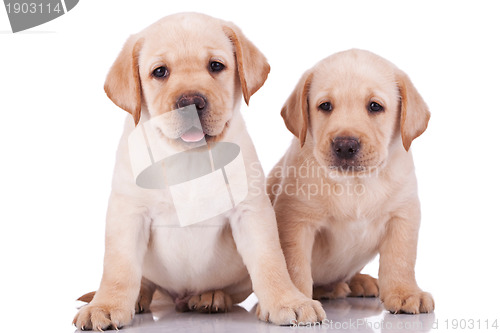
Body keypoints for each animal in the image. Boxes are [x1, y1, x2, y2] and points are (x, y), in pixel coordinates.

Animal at [73, 13, 324, 330]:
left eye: (215, 66)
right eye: (160, 72)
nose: (191, 101)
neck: (189, 158)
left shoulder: (251, 212)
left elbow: (270, 261)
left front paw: (288, 301)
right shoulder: (128, 213)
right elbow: (119, 267)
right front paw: (105, 305)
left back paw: (211, 297)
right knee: (144, 282)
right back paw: (140, 297)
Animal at [268, 49, 436, 314]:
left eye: (375, 106)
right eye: (325, 106)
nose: (345, 146)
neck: (355, 184)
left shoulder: (403, 214)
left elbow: (401, 258)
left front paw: (405, 292)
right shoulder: (295, 218)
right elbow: (294, 266)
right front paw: (297, 299)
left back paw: (359, 281)